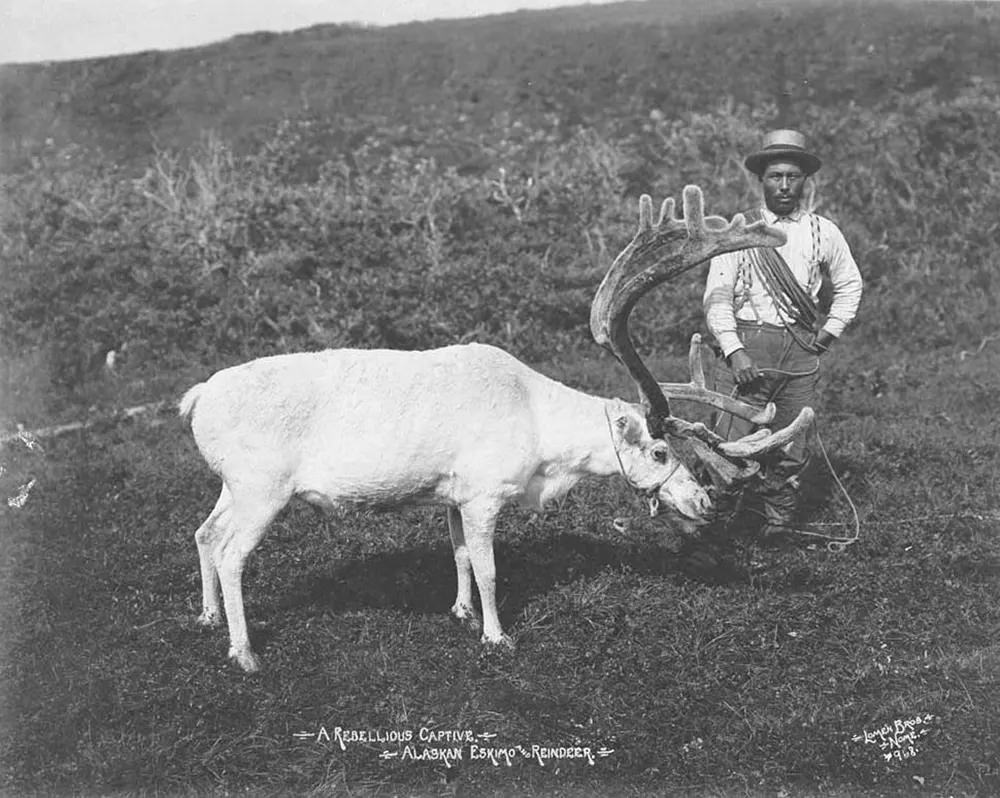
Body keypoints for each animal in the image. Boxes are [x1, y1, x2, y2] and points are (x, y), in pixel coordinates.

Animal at [179, 185, 814, 672]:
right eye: (660, 451)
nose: (705, 502)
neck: (542, 444)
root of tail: (197, 397)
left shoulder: (452, 494)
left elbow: (458, 554)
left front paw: (460, 613)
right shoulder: (485, 492)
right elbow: (487, 567)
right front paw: (495, 635)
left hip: (232, 484)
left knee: (205, 533)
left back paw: (207, 617)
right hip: (263, 488)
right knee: (232, 553)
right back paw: (244, 652)